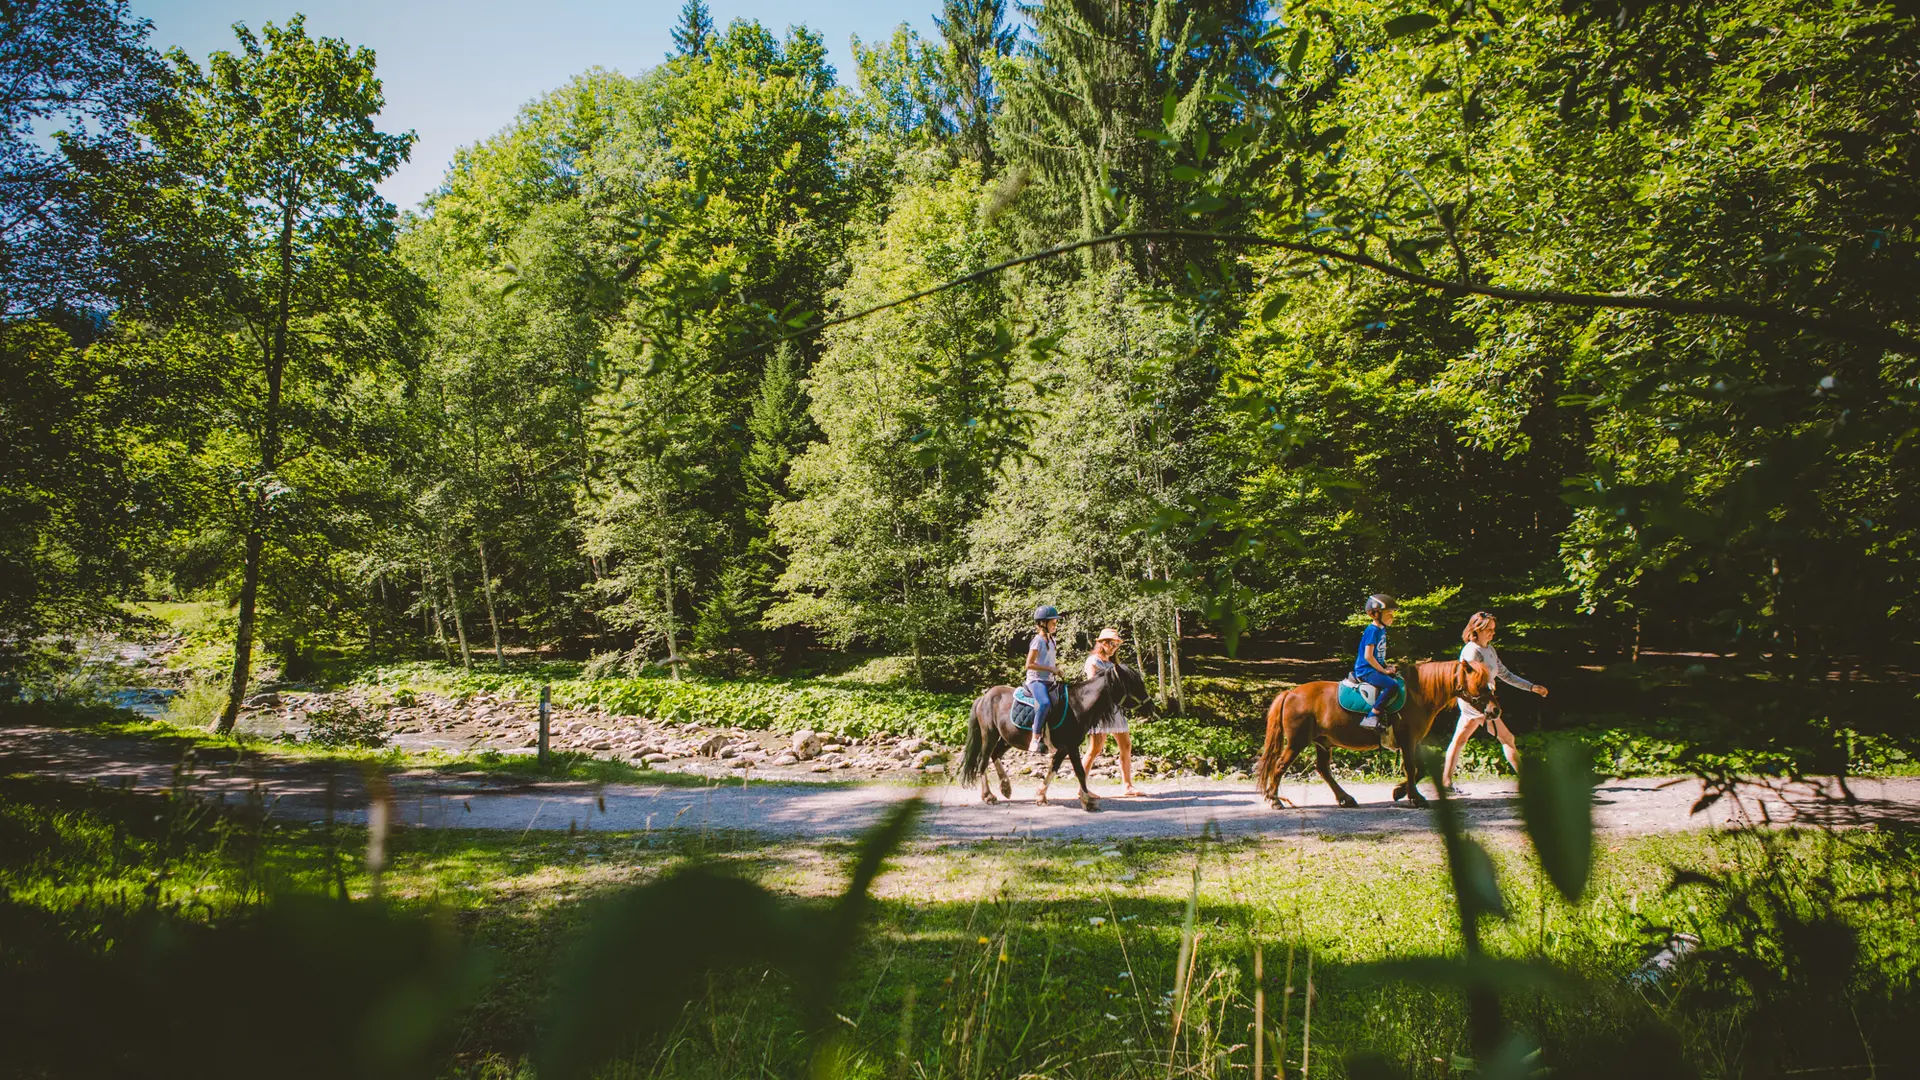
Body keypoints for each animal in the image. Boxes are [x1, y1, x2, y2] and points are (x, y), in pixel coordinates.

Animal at [960, 661, 1152, 810]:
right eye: (1133, 684)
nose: (1151, 708)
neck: (1078, 705)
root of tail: (984, 697)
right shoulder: (1071, 746)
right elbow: (1080, 771)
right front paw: (1088, 801)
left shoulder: (1063, 748)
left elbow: (1053, 769)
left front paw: (1040, 796)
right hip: (989, 735)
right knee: (983, 762)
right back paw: (988, 796)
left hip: (1007, 738)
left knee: (995, 755)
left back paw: (1005, 788)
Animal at [1259, 657, 1497, 807]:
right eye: (1480, 685)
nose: (1495, 710)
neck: (1418, 693)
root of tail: (1290, 693)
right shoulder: (1408, 739)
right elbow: (1411, 767)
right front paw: (1415, 798)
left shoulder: (1414, 741)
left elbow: (1420, 769)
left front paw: (1400, 792)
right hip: (1297, 742)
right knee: (1280, 766)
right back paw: (1275, 800)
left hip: (1322, 742)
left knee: (1323, 769)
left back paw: (1345, 798)